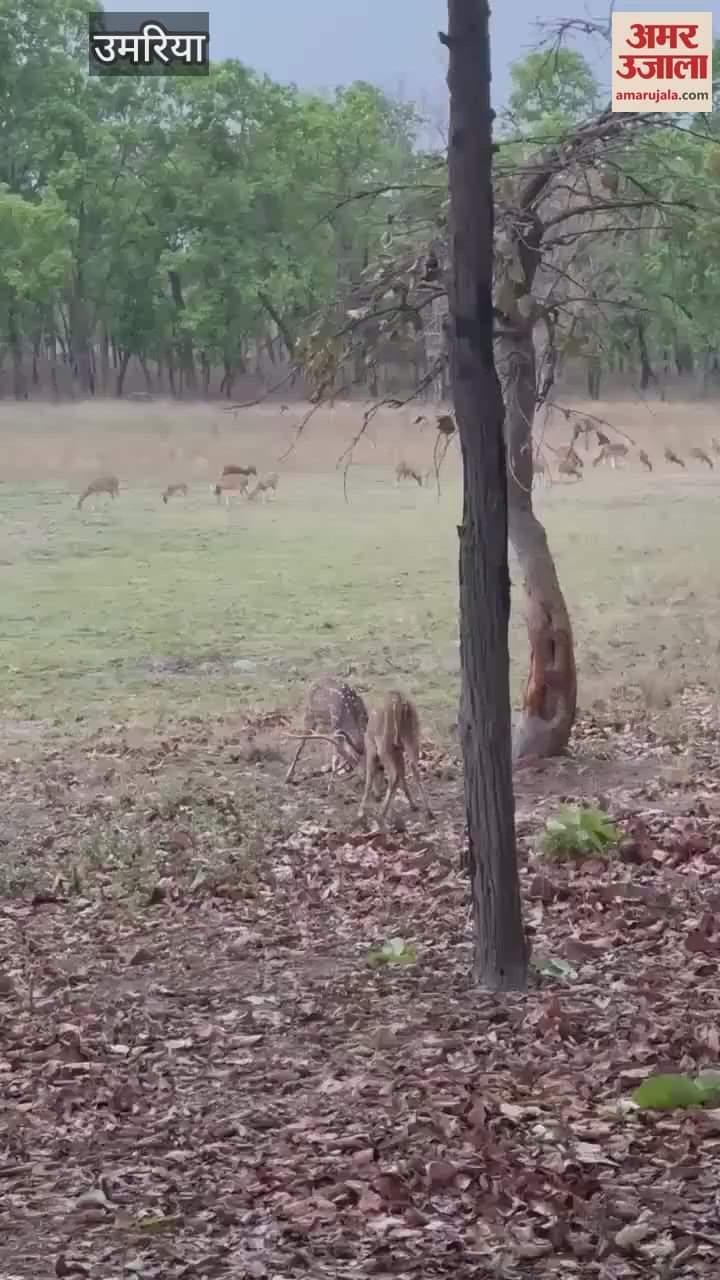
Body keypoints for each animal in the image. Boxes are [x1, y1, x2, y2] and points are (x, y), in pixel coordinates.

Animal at [359, 691, 432, 827]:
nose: (377, 796)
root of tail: (400, 704)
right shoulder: (398, 751)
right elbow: (402, 774)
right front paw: (412, 805)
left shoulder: (371, 748)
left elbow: (369, 779)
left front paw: (361, 810)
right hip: (412, 737)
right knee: (413, 768)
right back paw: (429, 811)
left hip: (384, 746)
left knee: (394, 776)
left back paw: (381, 815)